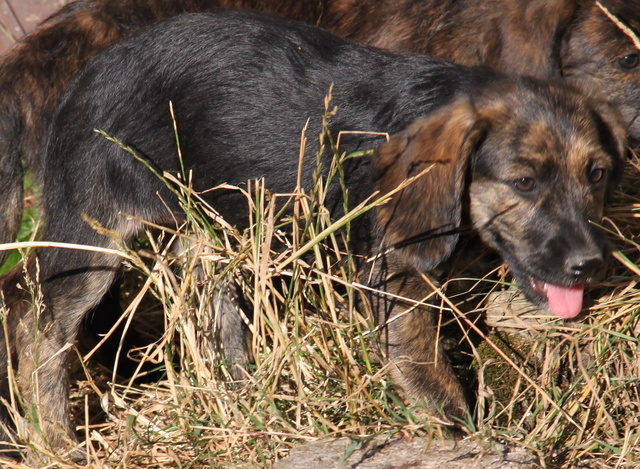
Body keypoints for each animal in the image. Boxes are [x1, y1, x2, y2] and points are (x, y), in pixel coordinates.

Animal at [0, 11, 624, 460]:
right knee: (35, 322)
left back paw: (251, 406)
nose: (590, 266)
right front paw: (460, 438)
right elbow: (431, 380)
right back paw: (55, 444)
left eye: (596, 175)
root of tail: (81, 78)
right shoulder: (397, 280)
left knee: (216, 322)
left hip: (209, 237)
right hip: (91, 234)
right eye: (524, 181)